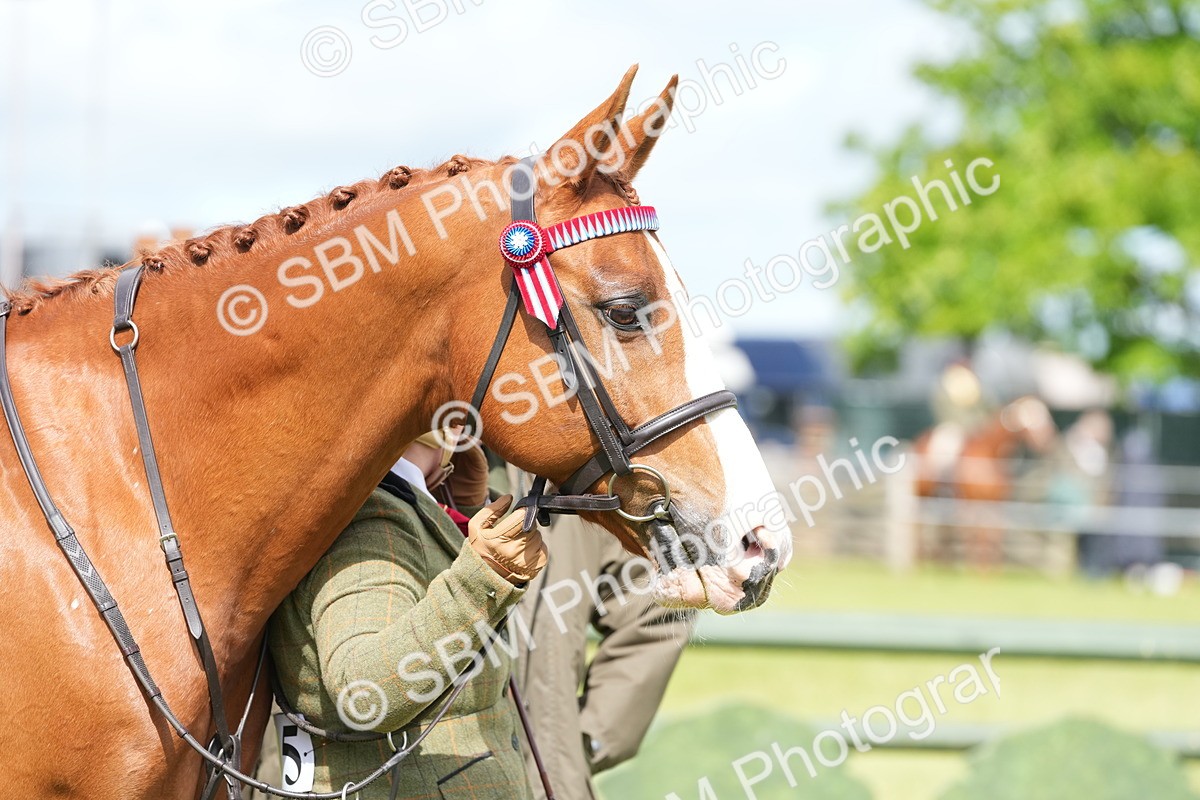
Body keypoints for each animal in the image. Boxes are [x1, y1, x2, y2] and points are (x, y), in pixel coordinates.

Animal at [912, 395, 1057, 567]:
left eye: (1045, 413)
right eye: (1027, 414)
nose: (1046, 441)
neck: (989, 454)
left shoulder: (997, 502)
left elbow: (995, 530)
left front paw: (991, 567)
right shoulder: (974, 501)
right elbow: (975, 530)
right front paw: (977, 566)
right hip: (922, 495)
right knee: (919, 523)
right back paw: (922, 558)